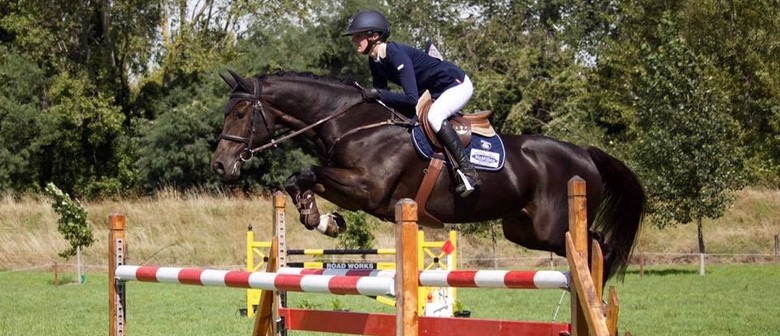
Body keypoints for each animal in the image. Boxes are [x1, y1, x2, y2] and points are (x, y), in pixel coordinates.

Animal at [210, 70, 644, 280]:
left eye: (241, 113)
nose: (220, 165)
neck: (353, 123)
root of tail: (585, 153)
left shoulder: (368, 189)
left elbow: (307, 171)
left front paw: (323, 219)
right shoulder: (352, 186)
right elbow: (299, 178)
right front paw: (324, 220)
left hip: (554, 227)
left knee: (599, 246)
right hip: (523, 230)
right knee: (592, 245)